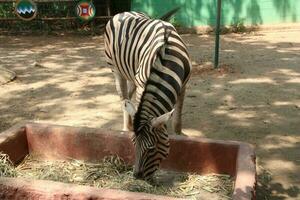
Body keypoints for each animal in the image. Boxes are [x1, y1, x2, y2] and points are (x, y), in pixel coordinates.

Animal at [104, 9, 191, 182]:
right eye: (133, 143)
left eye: (151, 148)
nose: (137, 176)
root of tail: (122, 12)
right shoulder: (142, 85)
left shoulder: (183, 85)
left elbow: (177, 117)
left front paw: (179, 135)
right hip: (116, 70)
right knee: (123, 97)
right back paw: (126, 126)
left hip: (132, 73)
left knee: (127, 98)